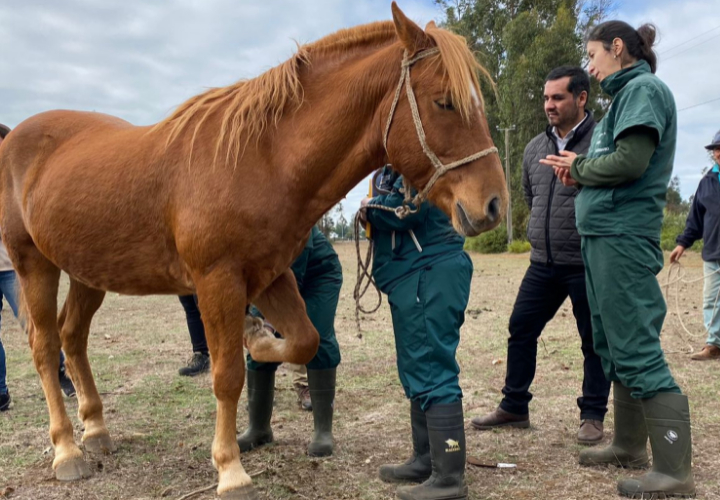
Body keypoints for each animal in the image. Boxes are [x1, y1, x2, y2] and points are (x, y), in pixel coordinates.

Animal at [0, 3, 507, 499]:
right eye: (444, 101)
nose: (493, 204)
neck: (259, 158)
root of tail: (15, 136)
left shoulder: (270, 275)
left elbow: (305, 340)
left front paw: (258, 338)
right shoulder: (217, 280)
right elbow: (227, 377)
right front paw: (231, 471)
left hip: (88, 272)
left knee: (72, 337)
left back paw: (96, 430)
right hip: (33, 264)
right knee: (46, 347)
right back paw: (67, 451)